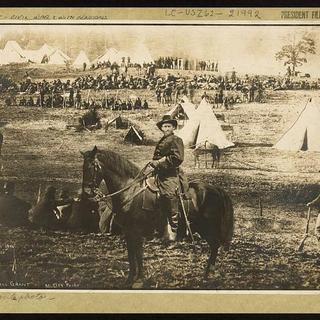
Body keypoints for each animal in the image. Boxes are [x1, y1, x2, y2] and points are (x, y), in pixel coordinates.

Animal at [81, 146, 234, 288]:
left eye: (92, 166)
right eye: (83, 167)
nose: (87, 192)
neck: (130, 191)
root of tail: (216, 189)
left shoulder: (136, 232)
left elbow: (138, 255)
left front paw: (138, 280)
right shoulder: (129, 232)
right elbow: (132, 256)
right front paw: (131, 280)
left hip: (208, 228)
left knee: (215, 246)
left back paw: (208, 275)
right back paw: (206, 274)